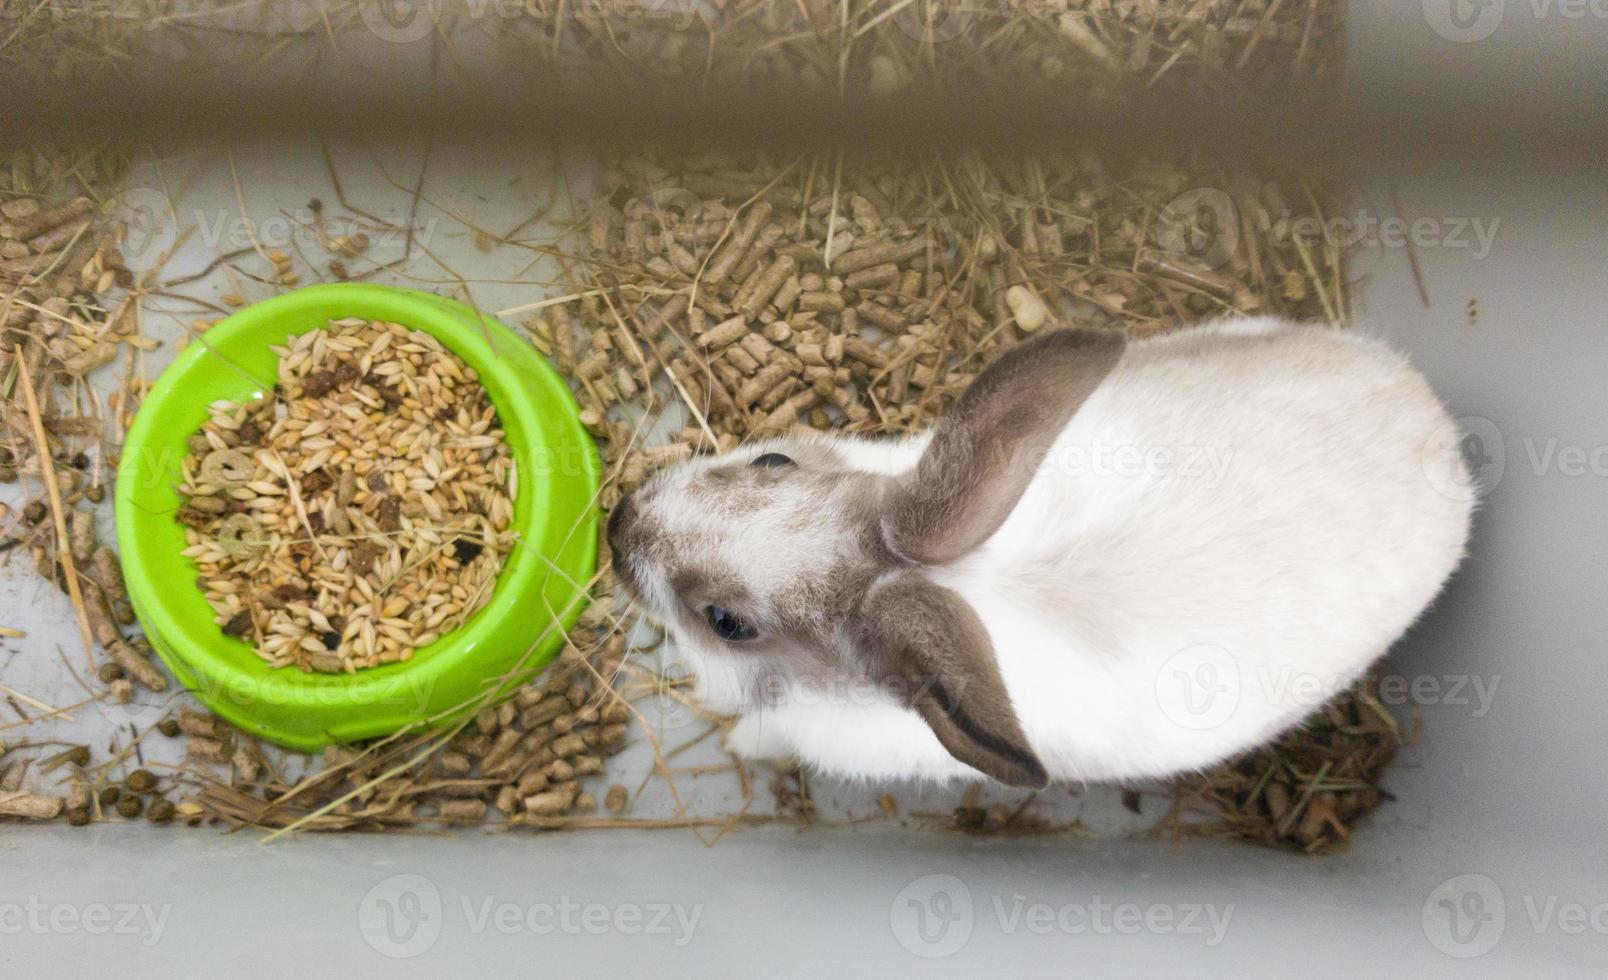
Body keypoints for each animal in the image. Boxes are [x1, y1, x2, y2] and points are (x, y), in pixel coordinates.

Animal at [607, 318, 1472, 788]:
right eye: (772, 461)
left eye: (728, 622)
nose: (616, 524)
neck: (942, 579)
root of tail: (1441, 435)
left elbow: (764, 736)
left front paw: (738, 743)